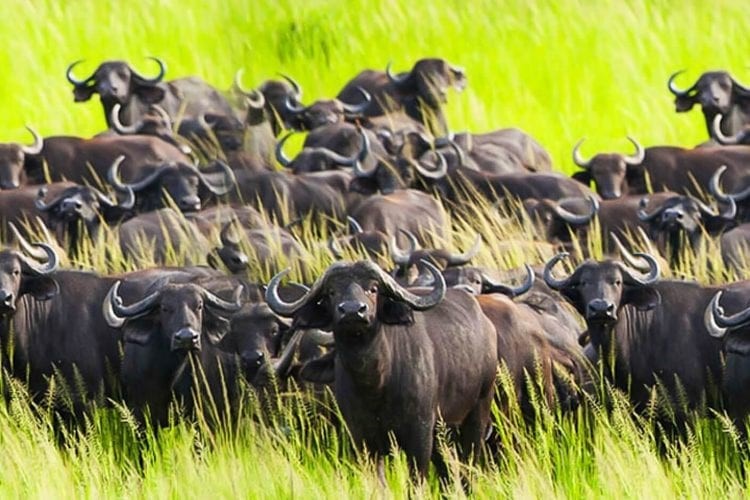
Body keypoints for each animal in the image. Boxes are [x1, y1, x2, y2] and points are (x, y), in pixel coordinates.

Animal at [266, 260, 500, 478]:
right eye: (332, 291)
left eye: (373, 288)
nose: (352, 310)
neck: (375, 384)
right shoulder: (363, 439)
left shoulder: (420, 434)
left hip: (477, 414)